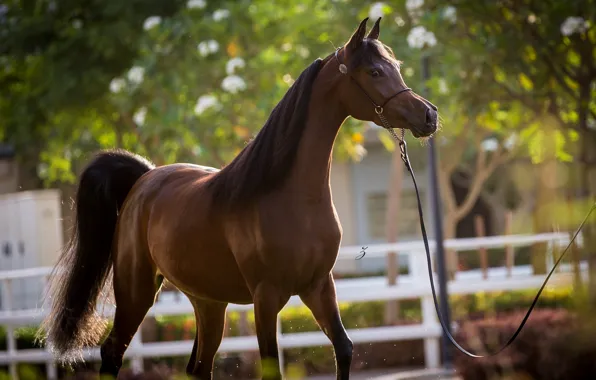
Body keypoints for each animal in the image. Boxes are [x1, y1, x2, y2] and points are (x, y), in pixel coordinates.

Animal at [38, 17, 438, 380]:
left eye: (396, 67)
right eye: (374, 71)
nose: (429, 115)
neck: (291, 198)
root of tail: (145, 178)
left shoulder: (318, 286)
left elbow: (344, 349)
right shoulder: (266, 297)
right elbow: (272, 368)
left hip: (209, 302)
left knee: (198, 367)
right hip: (137, 291)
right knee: (112, 353)